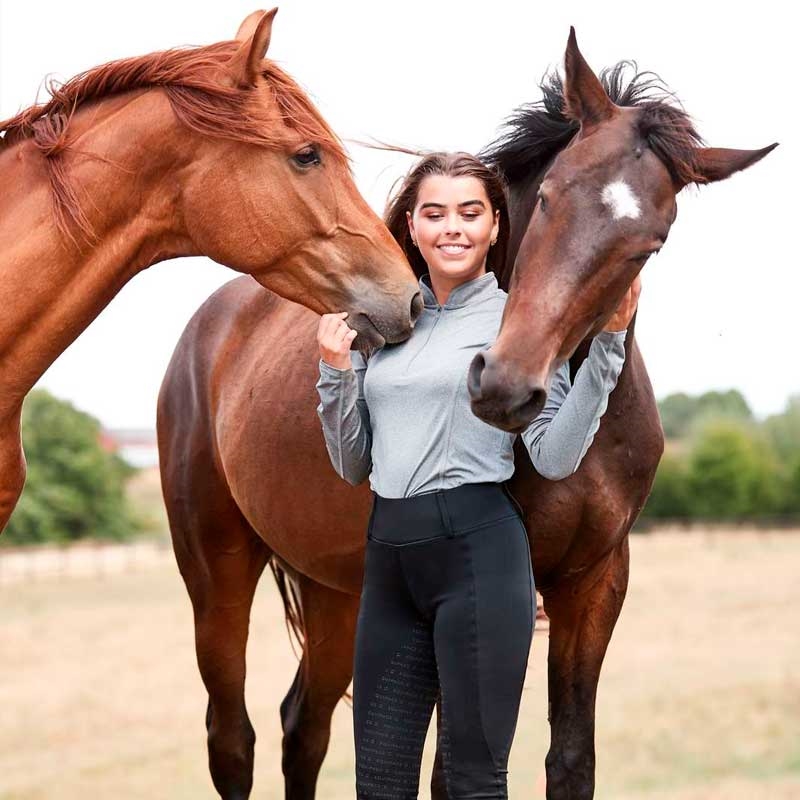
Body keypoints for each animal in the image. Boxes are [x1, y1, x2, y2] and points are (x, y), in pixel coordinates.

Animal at [156, 29, 776, 800]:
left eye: (650, 241)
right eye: (548, 195)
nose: (505, 388)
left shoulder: (595, 582)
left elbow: (570, 761)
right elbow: (451, 771)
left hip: (339, 595)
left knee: (304, 726)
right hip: (217, 570)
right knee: (231, 738)